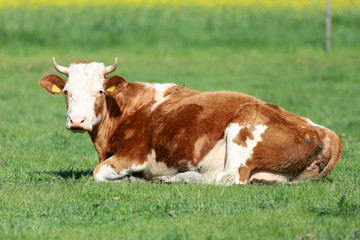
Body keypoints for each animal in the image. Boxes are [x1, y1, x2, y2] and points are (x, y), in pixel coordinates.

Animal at [39, 58, 340, 186]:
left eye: (99, 91)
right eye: (66, 92)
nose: (77, 120)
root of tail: (323, 130)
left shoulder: (134, 154)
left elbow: (99, 172)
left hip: (242, 129)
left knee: (227, 178)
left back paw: (176, 178)